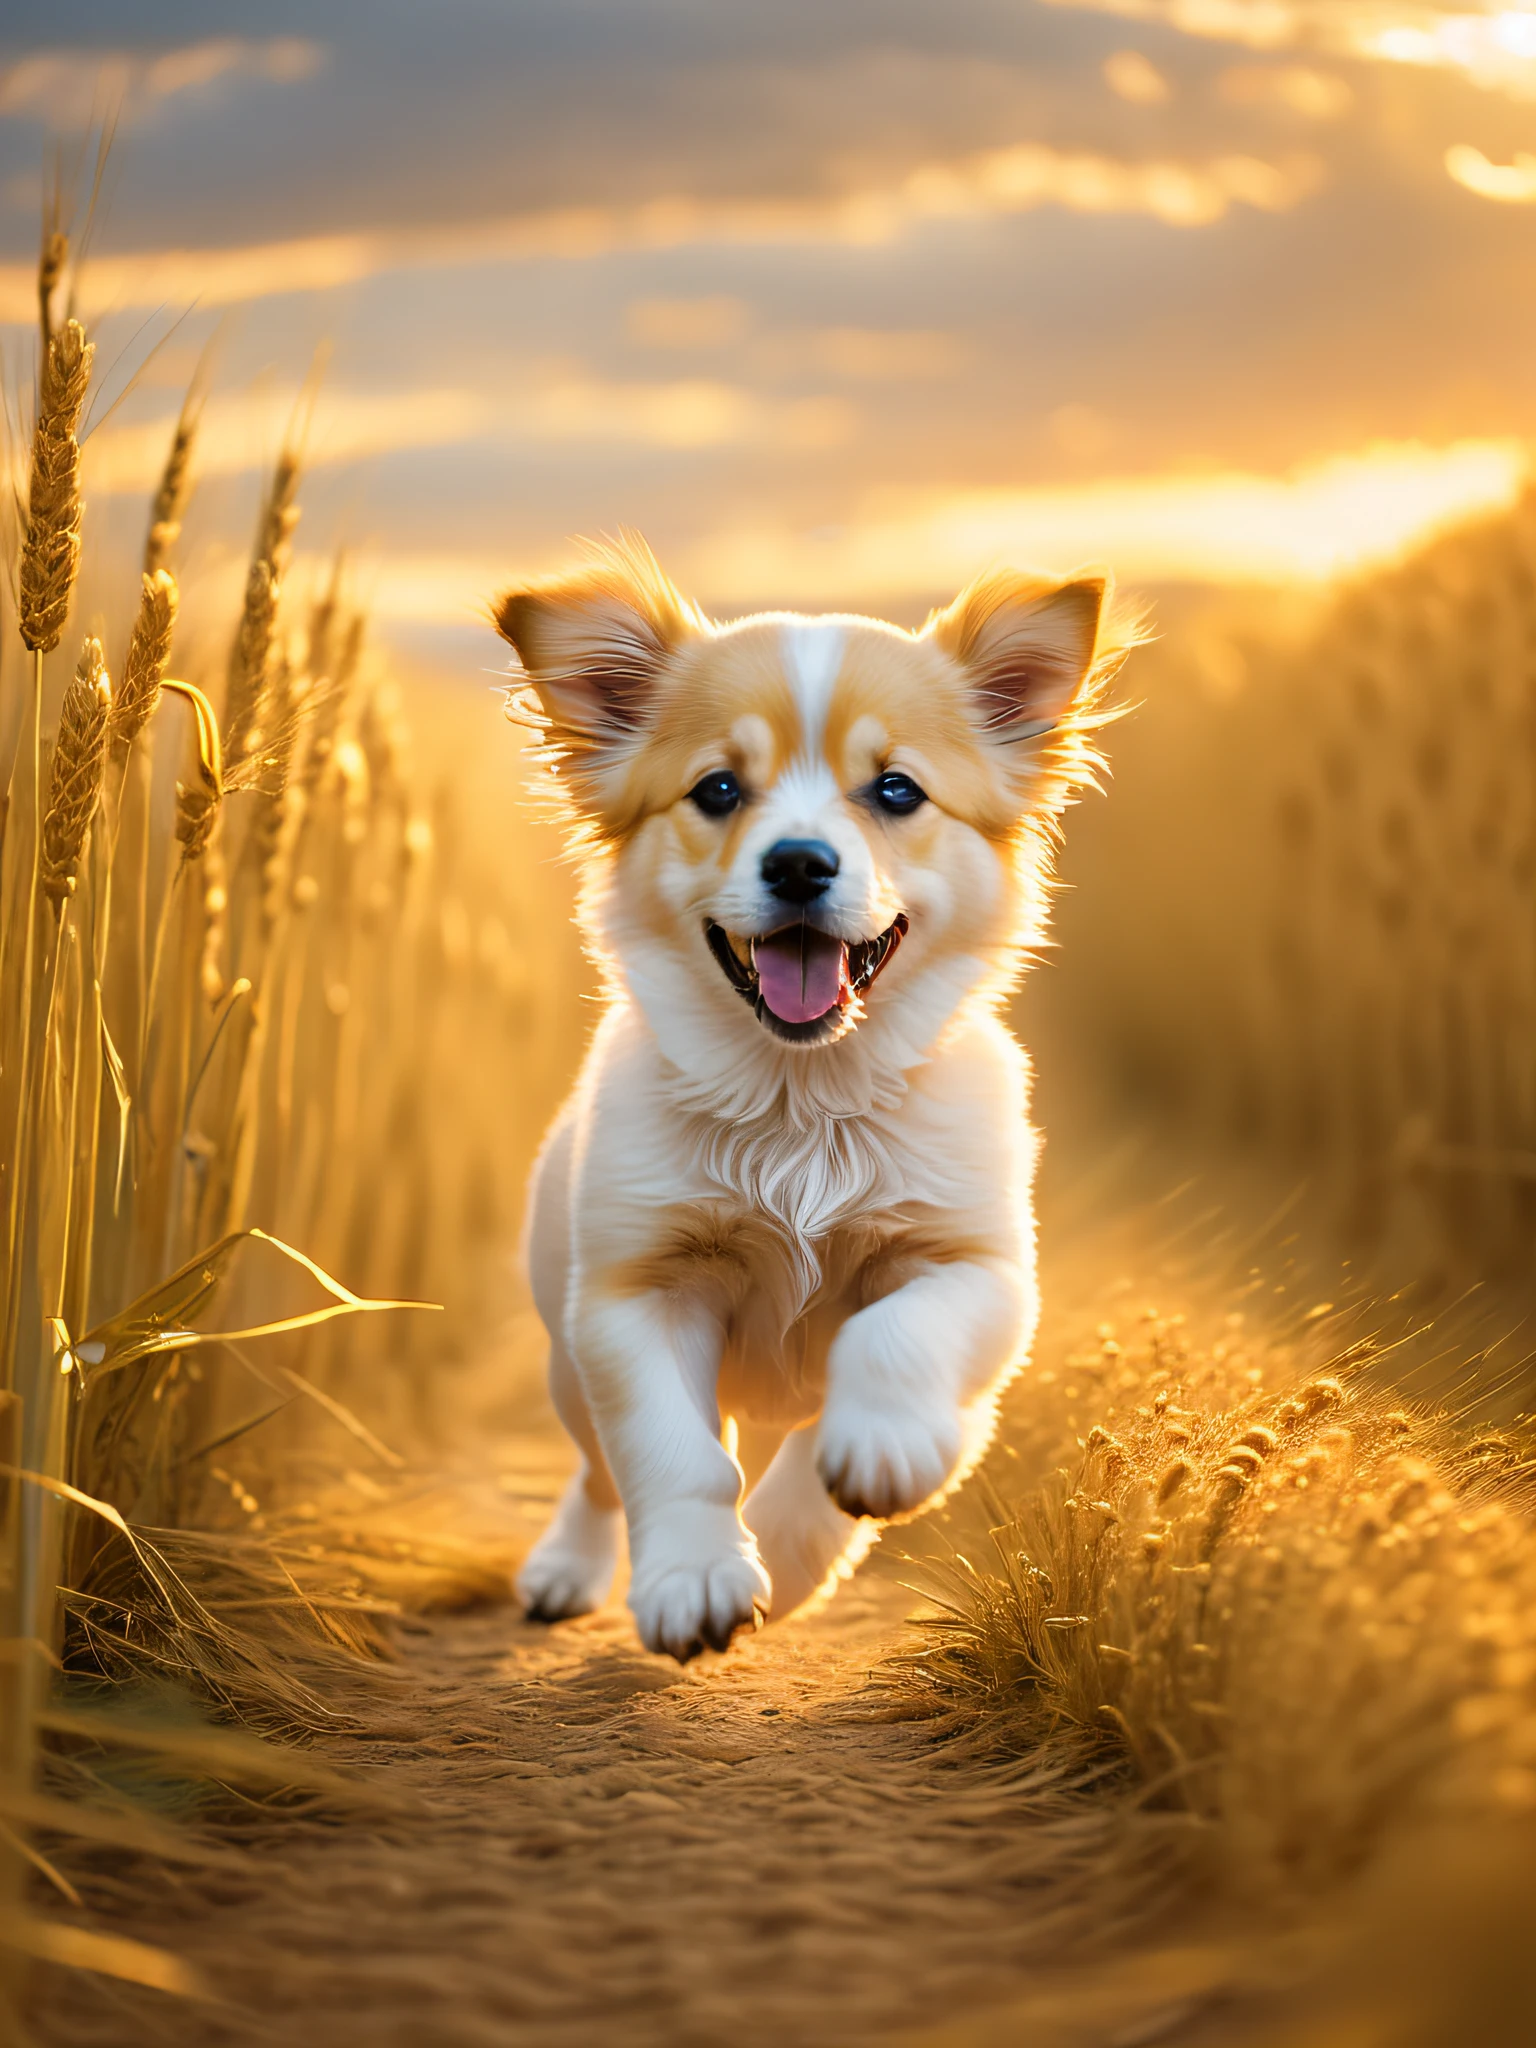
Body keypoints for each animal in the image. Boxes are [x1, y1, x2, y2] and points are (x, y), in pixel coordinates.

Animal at [499, 540, 1122, 1662]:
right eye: (716, 789)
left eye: (896, 789)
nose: (797, 862)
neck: (804, 1104)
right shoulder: (633, 1295)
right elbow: (674, 1453)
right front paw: (696, 1577)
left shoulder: (980, 1269)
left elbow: (893, 1346)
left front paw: (830, 1509)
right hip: (568, 1366)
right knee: (599, 1474)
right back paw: (567, 1566)